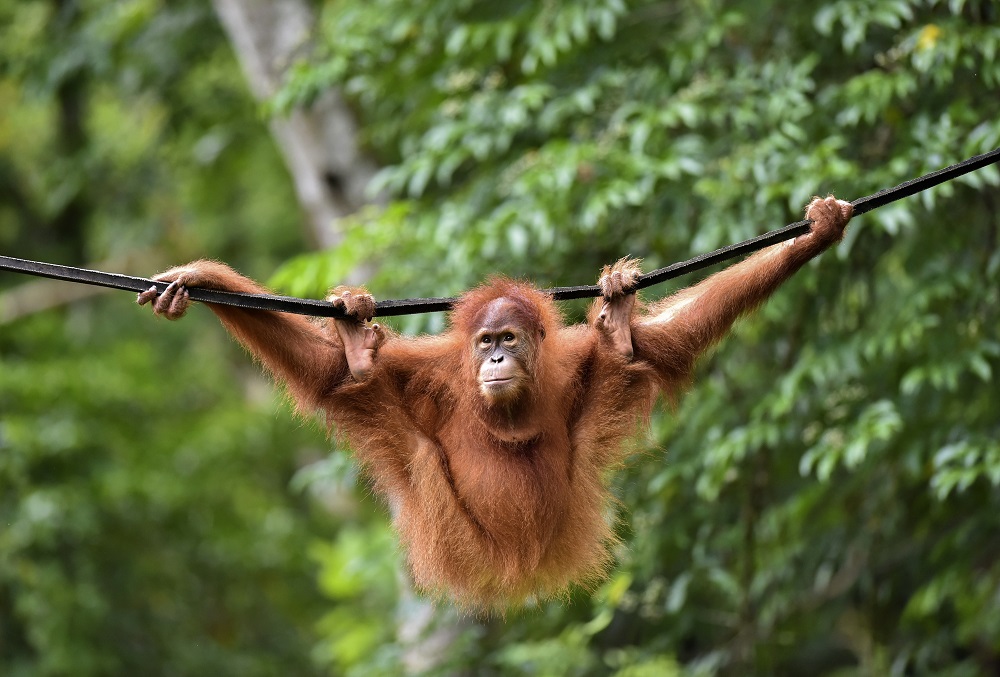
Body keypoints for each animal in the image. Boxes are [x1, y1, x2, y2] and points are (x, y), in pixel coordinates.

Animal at [138, 196, 853, 609]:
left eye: (509, 338)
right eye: (484, 342)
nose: (497, 361)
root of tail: (515, 573)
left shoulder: (568, 361)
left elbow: (662, 340)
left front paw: (816, 233)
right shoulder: (428, 370)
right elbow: (327, 371)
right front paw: (198, 277)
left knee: (621, 365)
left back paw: (618, 329)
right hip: (450, 534)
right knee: (393, 421)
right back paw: (361, 352)